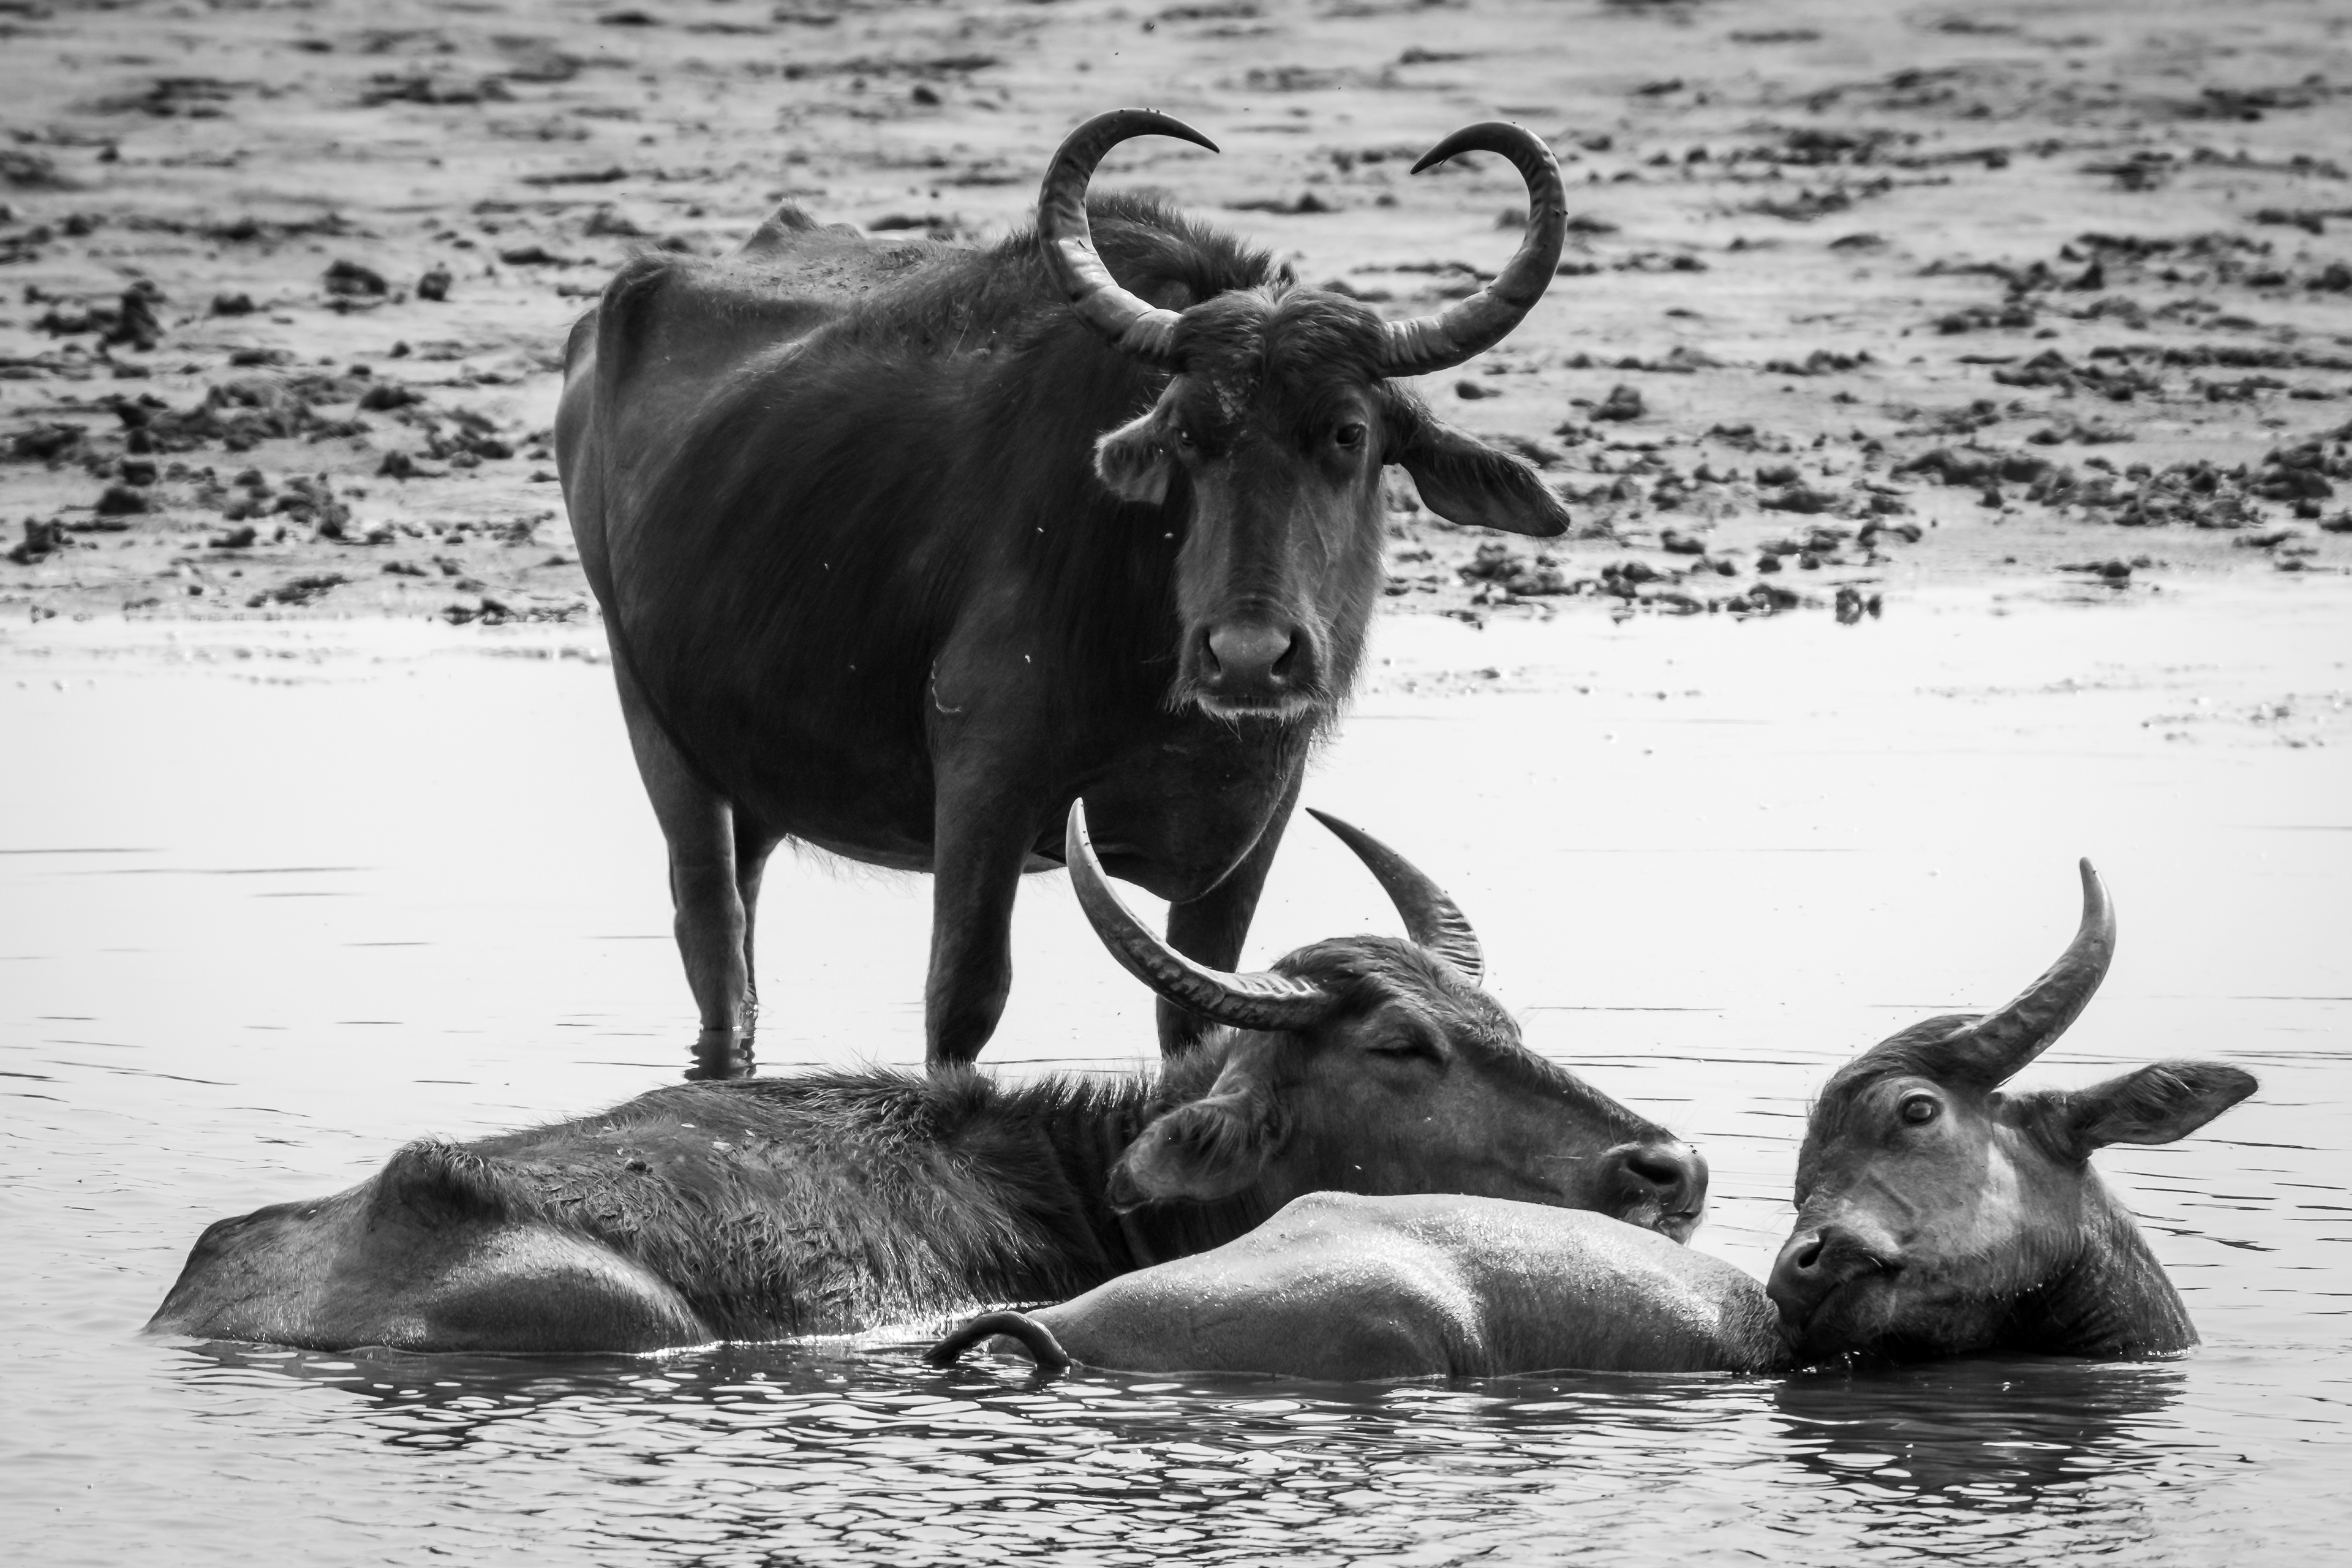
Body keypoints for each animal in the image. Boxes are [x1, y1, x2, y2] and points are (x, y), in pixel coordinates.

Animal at [554, 108, 1572, 1072]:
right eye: (1186, 432)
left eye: (1349, 433)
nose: (1249, 658)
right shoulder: (983, 789)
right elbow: (963, 999)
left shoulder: (1258, 823)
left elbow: (1201, 1009)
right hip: (656, 723)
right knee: (712, 935)